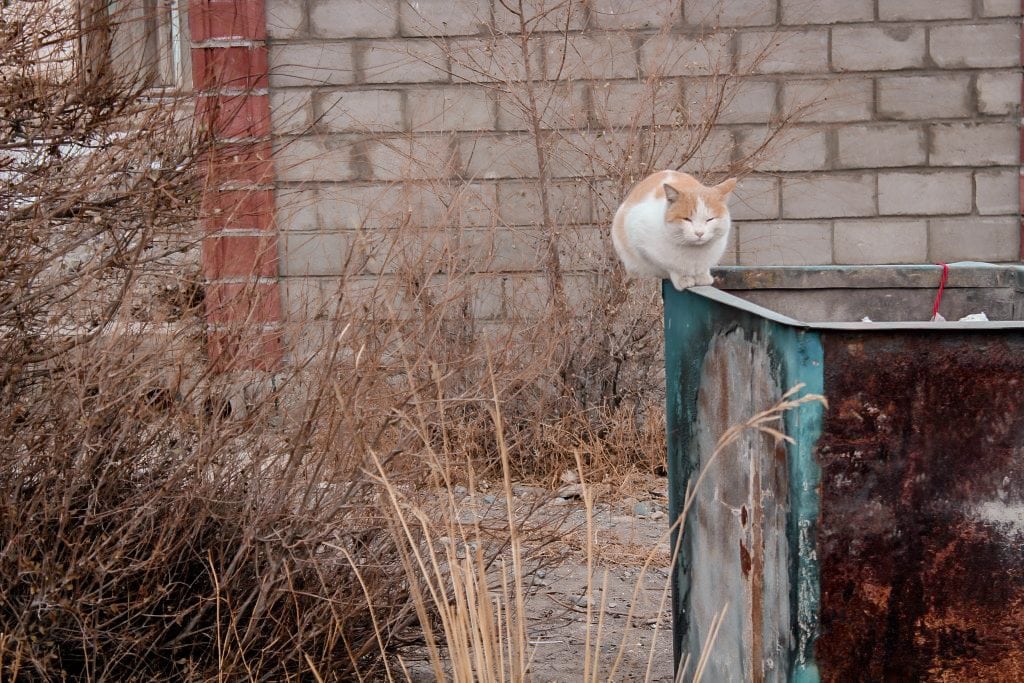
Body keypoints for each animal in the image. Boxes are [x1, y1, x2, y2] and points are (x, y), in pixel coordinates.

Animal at [606, 172, 737, 292]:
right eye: (687, 219)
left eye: (710, 219)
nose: (699, 233)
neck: (694, 253)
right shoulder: (638, 235)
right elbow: (671, 267)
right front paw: (683, 278)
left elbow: (703, 269)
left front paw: (702, 276)